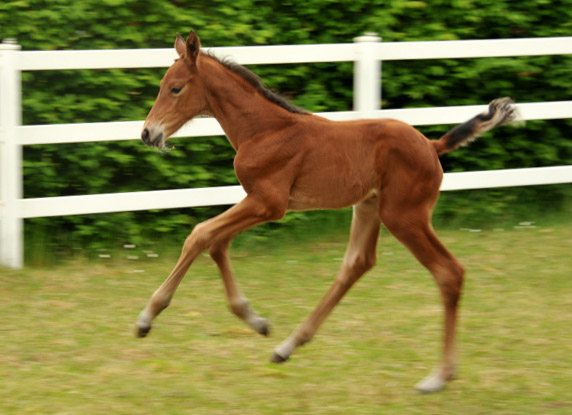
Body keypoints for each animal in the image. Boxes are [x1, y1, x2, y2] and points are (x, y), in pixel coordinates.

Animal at [135, 31, 520, 394]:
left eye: (175, 88)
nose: (148, 134)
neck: (264, 129)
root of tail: (431, 145)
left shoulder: (269, 203)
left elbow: (200, 234)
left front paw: (146, 317)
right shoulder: (258, 202)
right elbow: (216, 243)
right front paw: (256, 321)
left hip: (404, 216)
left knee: (448, 272)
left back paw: (438, 377)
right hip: (369, 207)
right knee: (357, 264)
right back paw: (288, 346)